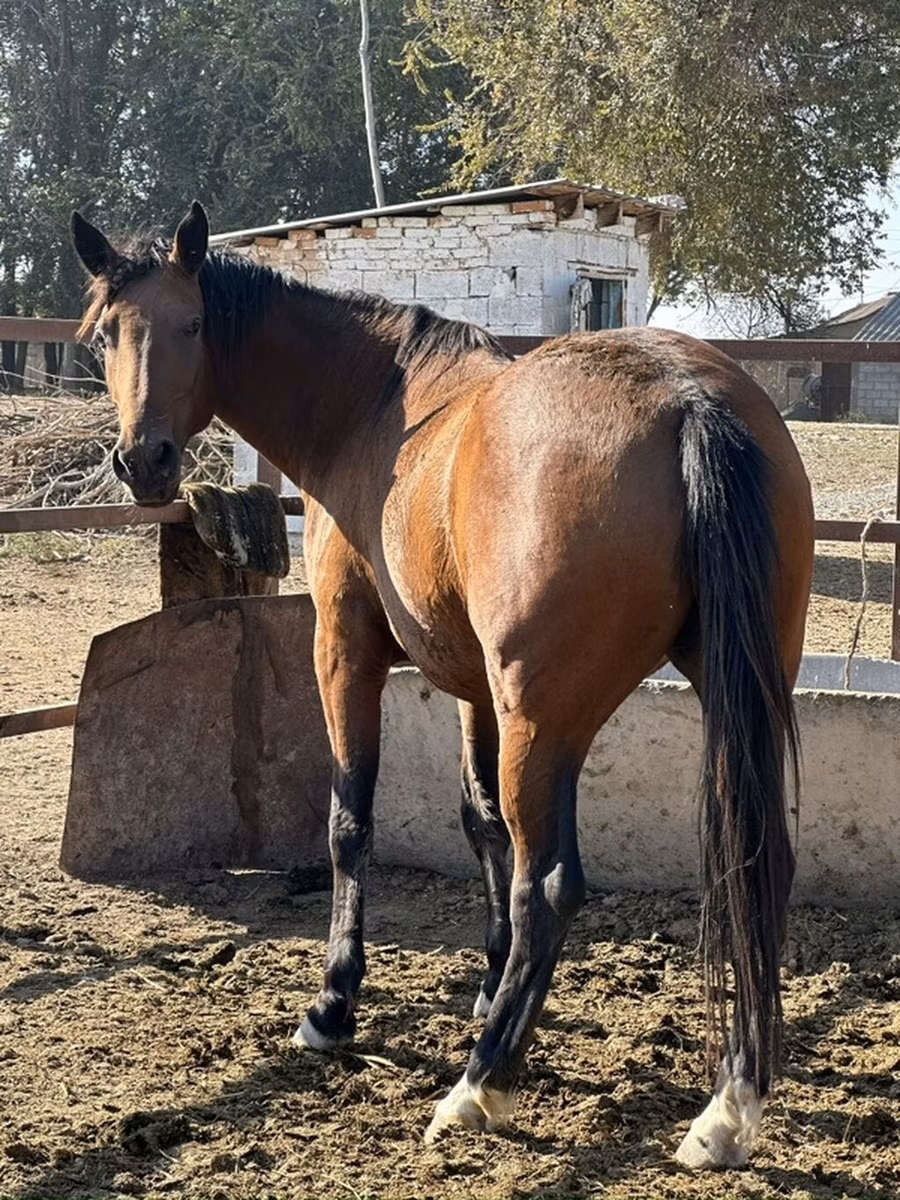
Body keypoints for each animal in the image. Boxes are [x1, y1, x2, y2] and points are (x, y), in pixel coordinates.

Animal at [71, 201, 814, 1168]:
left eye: (193, 324)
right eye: (104, 337)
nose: (145, 461)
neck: (376, 410)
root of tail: (687, 398)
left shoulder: (343, 652)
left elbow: (351, 823)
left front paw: (334, 1004)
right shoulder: (471, 687)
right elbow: (479, 822)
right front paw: (486, 983)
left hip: (546, 721)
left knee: (552, 886)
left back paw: (481, 1083)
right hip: (730, 688)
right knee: (754, 859)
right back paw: (730, 1101)